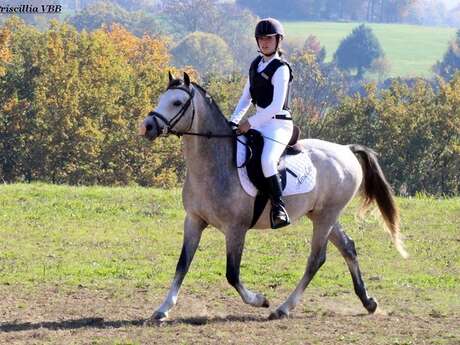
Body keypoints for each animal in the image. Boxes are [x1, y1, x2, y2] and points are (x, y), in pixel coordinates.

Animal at [138, 72, 408, 320]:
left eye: (176, 102)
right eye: (162, 98)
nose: (147, 126)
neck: (214, 164)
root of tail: (346, 150)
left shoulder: (235, 229)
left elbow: (232, 273)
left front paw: (260, 300)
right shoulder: (194, 220)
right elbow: (182, 264)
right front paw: (163, 309)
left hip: (326, 216)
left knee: (316, 258)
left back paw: (283, 308)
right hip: (322, 215)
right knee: (348, 247)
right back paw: (368, 302)